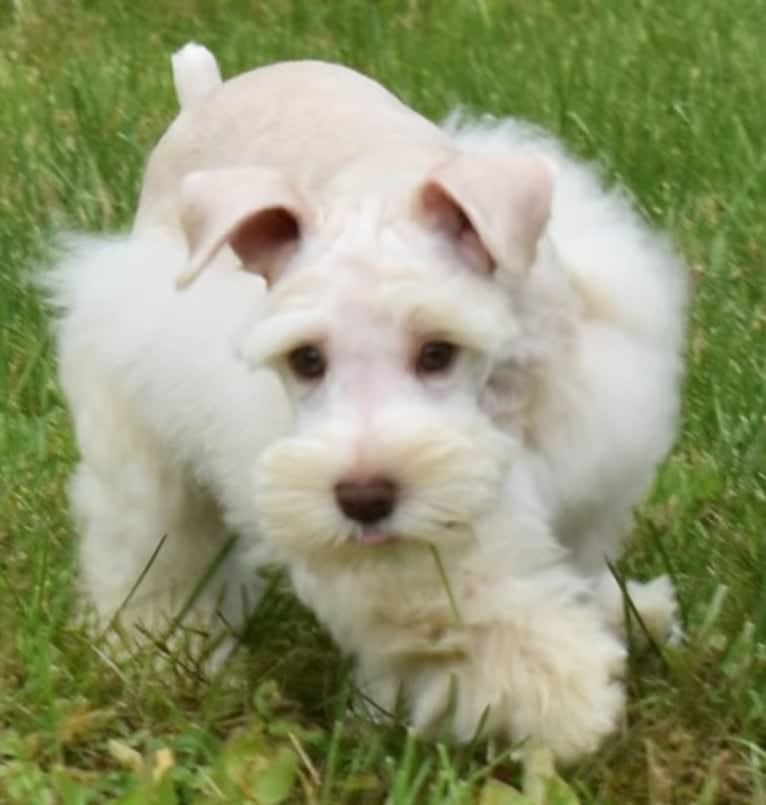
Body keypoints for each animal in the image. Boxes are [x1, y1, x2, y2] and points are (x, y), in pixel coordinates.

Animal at [45, 42, 688, 760]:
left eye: (437, 350)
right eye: (306, 359)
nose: (363, 497)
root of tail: (203, 92)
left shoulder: (588, 453)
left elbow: (571, 559)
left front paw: (617, 618)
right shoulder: (406, 552)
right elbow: (472, 609)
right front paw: (561, 689)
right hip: (140, 427)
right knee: (152, 544)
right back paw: (157, 652)